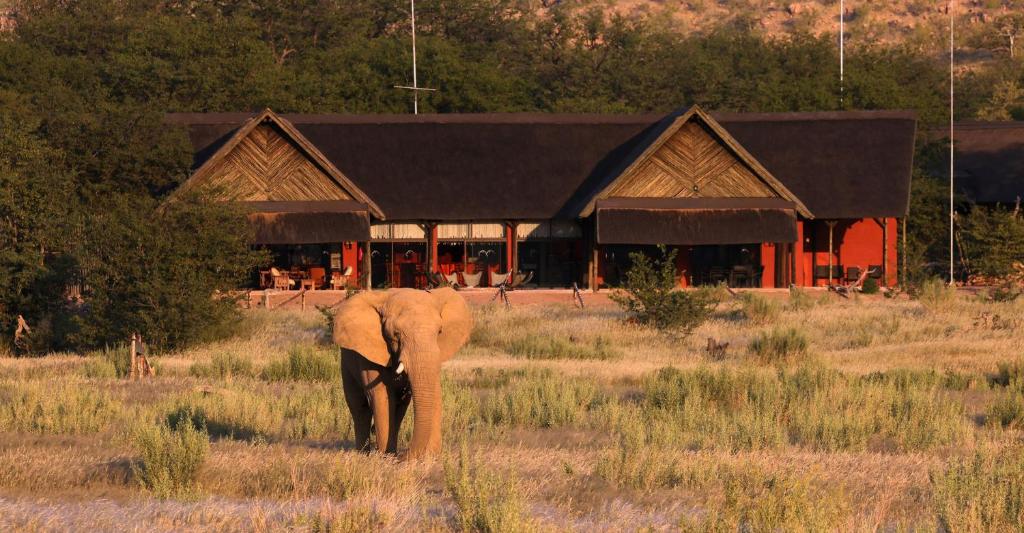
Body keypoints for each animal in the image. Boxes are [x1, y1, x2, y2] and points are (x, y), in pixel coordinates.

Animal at [331, 286, 471, 456]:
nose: (406, 455)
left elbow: (434, 391)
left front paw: (431, 455)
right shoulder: (369, 355)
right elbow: (380, 395)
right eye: (396, 335)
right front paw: (384, 456)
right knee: (359, 407)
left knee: (399, 408)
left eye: (439, 332)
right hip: (346, 362)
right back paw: (365, 453)